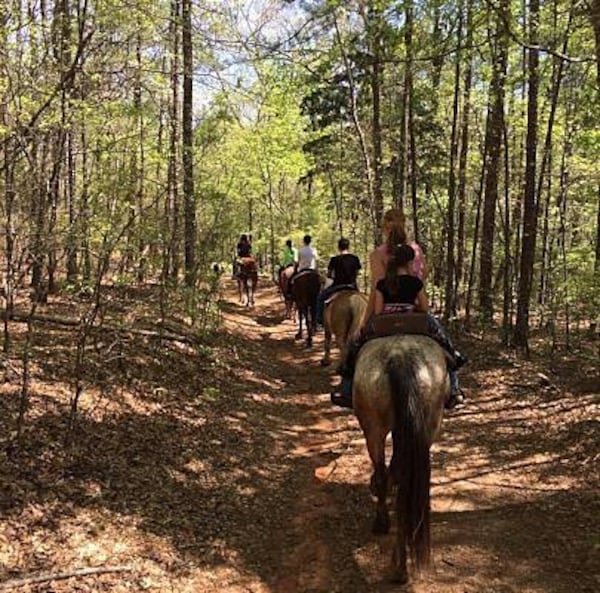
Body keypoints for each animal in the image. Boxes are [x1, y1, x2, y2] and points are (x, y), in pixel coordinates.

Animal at [352, 332, 450, 584]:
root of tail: (401, 358)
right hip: (428, 423)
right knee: (405, 484)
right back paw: (401, 565)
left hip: (373, 427)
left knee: (383, 473)